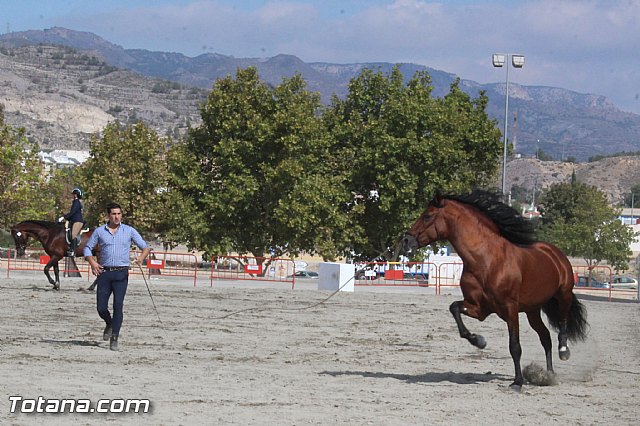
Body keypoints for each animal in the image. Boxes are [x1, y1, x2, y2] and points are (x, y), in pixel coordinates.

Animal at [402, 189, 588, 391]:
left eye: (427, 215)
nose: (406, 241)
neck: (486, 260)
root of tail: (553, 252)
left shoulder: (510, 309)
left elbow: (515, 346)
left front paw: (517, 382)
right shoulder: (479, 307)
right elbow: (455, 309)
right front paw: (479, 340)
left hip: (563, 295)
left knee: (562, 323)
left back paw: (563, 351)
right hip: (532, 311)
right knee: (545, 337)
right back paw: (549, 375)